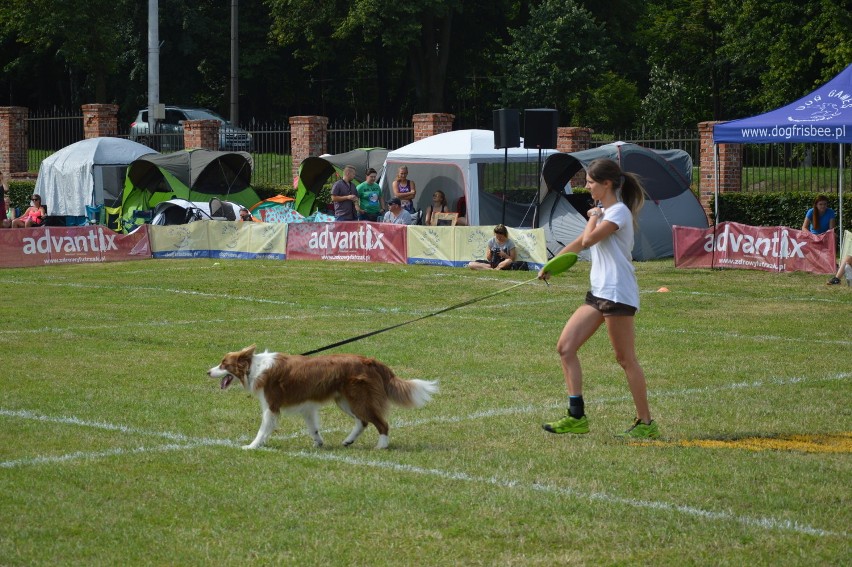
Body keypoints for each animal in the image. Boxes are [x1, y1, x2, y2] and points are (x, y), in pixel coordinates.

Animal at [206, 344, 436, 450]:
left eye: (223, 364)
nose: (207, 372)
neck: (254, 367)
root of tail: (370, 360)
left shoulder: (271, 406)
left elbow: (262, 429)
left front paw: (252, 446)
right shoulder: (307, 406)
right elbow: (313, 427)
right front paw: (318, 443)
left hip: (358, 399)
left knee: (381, 423)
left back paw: (381, 446)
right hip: (344, 400)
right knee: (362, 422)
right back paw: (348, 441)